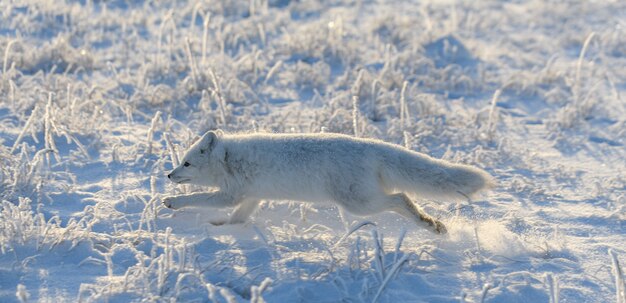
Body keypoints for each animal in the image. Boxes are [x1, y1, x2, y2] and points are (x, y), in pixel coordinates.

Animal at [162, 131, 492, 235]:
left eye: (186, 163)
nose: (168, 175)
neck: (232, 159)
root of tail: (372, 146)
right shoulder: (251, 196)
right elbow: (237, 218)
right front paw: (221, 229)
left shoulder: (231, 193)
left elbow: (199, 197)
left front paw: (171, 202)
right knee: (401, 199)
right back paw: (432, 224)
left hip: (360, 204)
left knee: (401, 198)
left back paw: (428, 224)